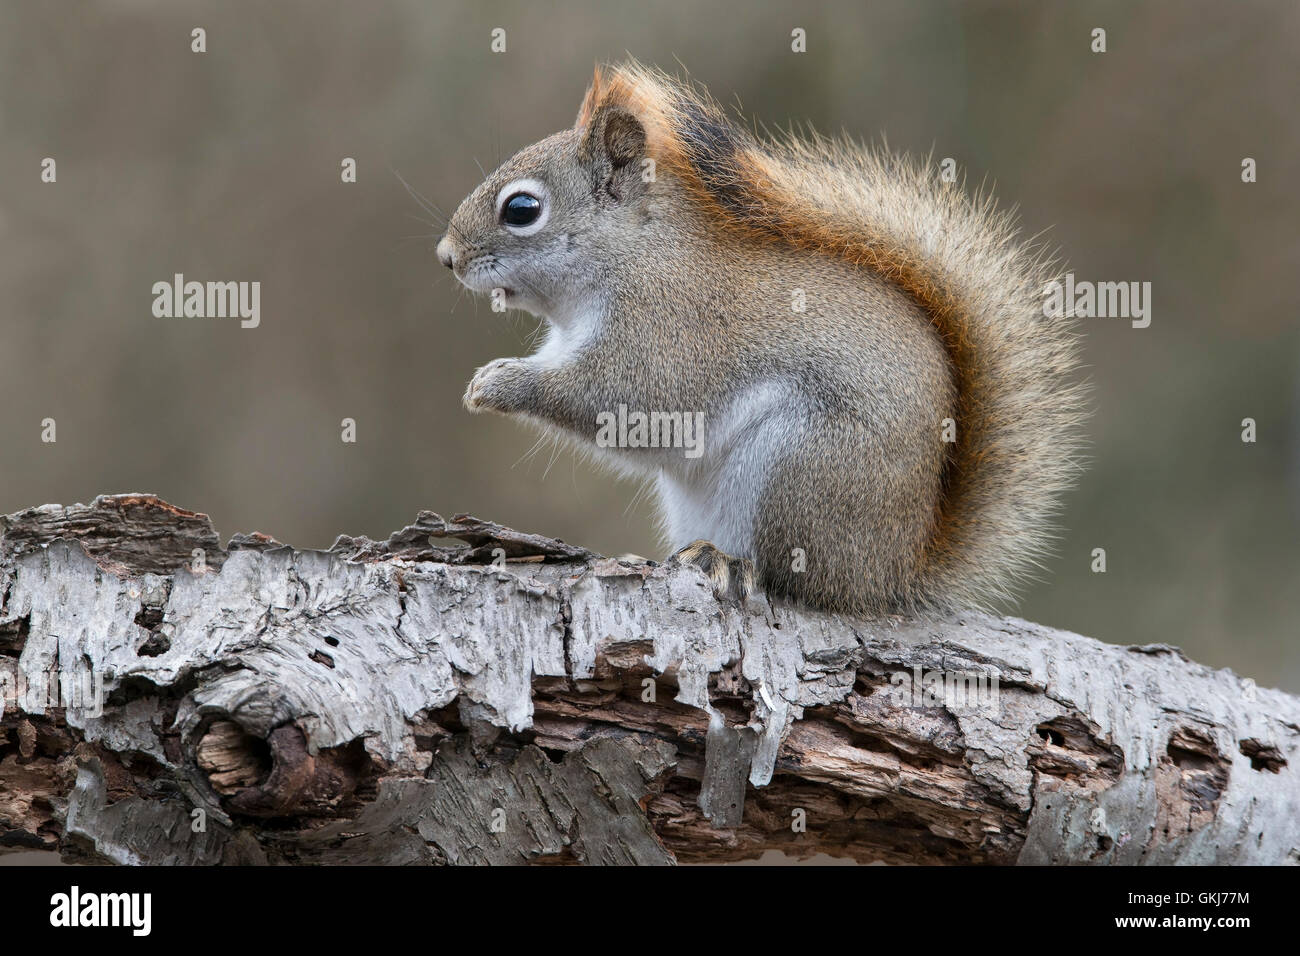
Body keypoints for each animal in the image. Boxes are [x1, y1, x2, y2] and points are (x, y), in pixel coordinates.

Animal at [436, 59, 1086, 613]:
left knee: (792, 575)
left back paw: (729, 563)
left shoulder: (667, 332)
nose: (446, 257)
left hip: (800, 465)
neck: (633, 253)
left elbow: (622, 401)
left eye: (522, 208)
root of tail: (892, 573)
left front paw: (500, 386)